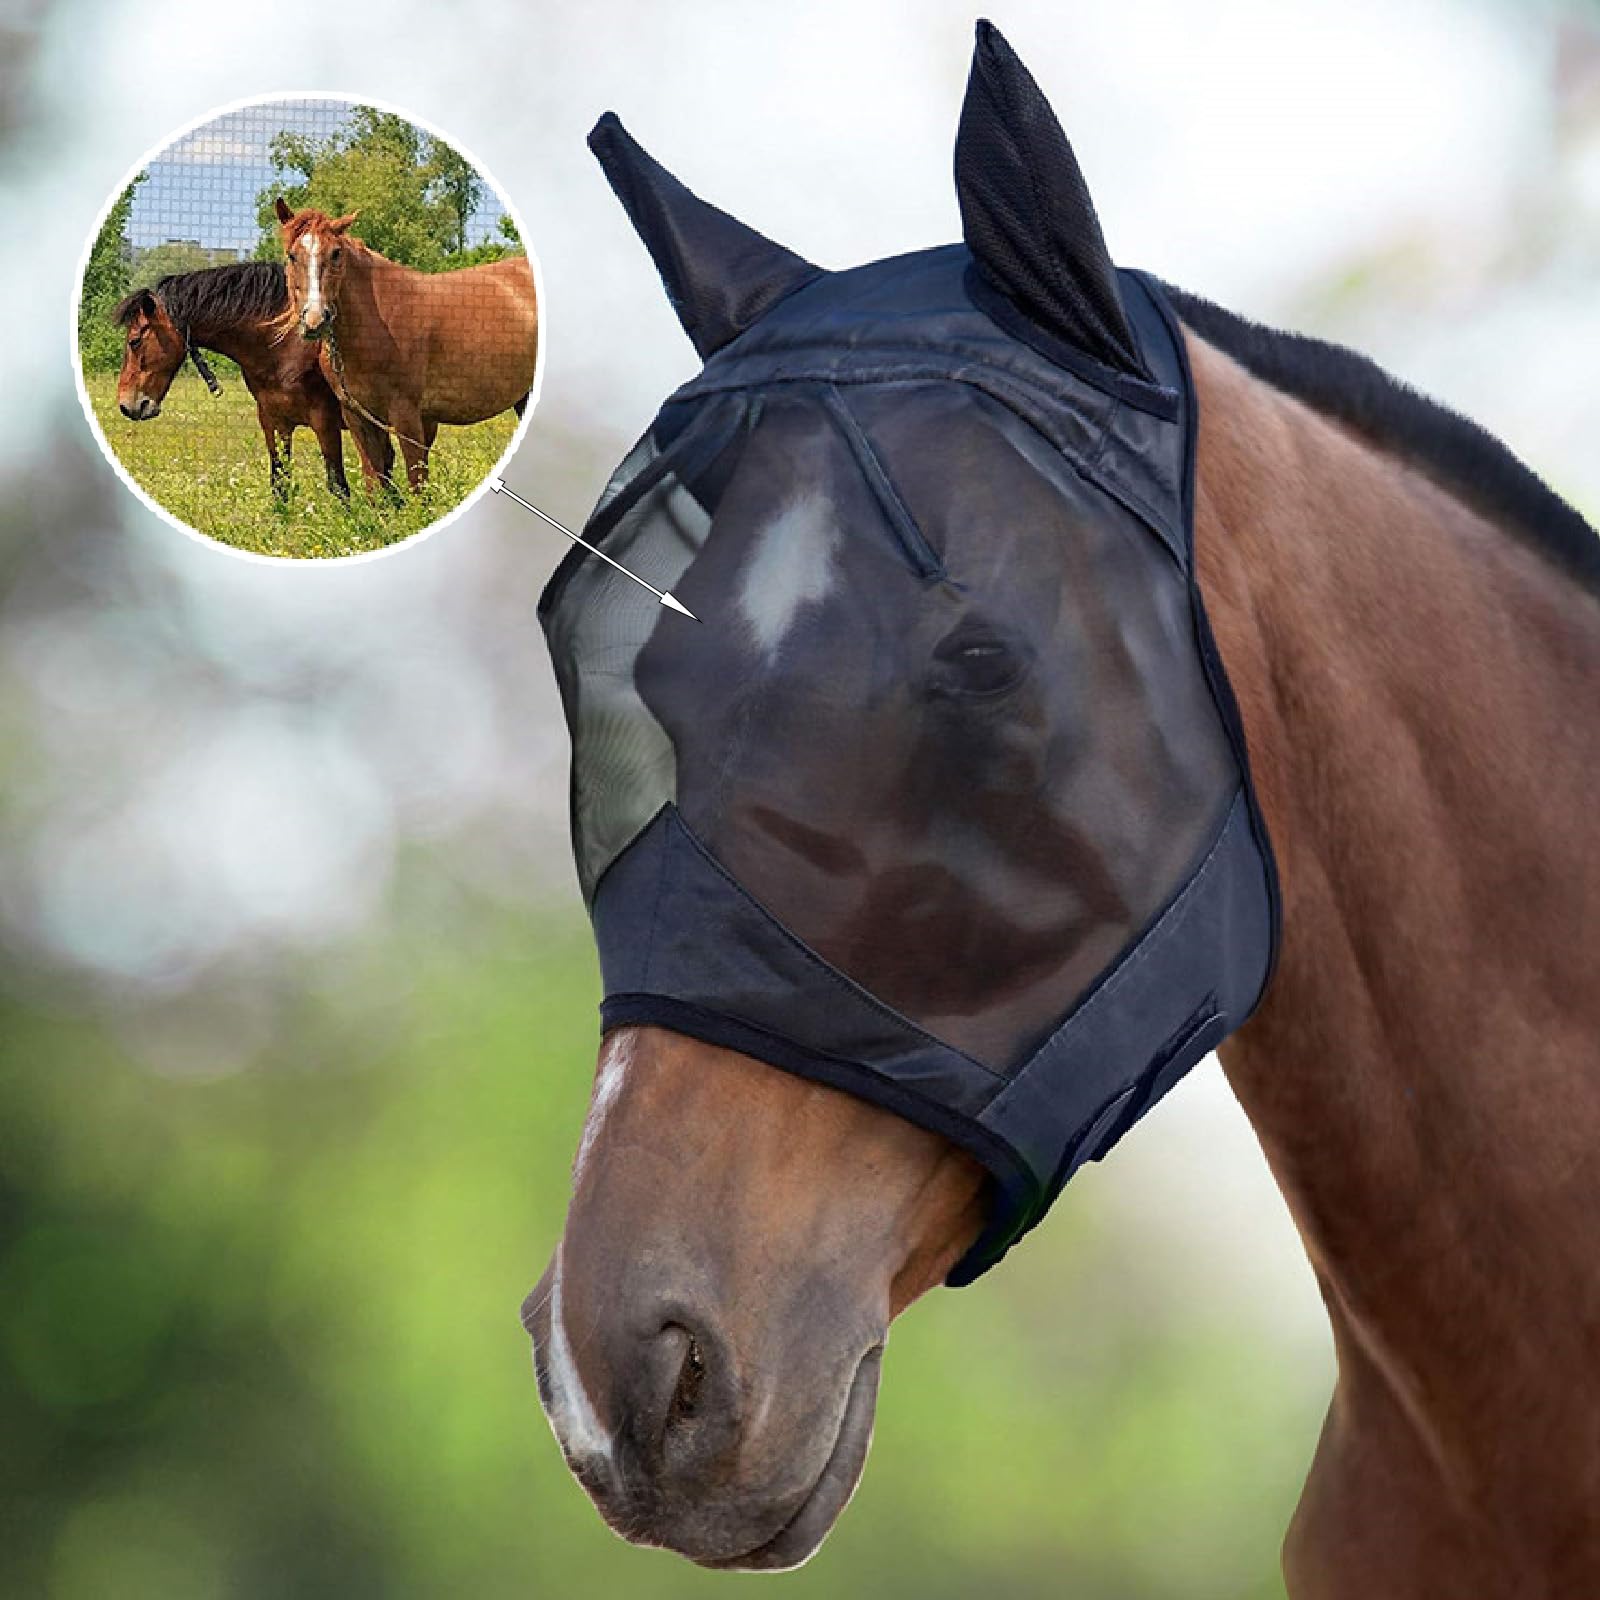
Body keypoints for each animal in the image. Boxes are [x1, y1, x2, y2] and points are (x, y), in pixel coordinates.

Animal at [112, 261, 357, 500]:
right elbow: (280, 485)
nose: (126, 405)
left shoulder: (325, 422)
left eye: (134, 341)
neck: (287, 346)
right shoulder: (275, 421)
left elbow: (339, 487)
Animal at [273, 200, 538, 494]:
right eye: (292, 256)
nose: (315, 320)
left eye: (336, 253)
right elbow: (374, 486)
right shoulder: (357, 417)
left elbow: (416, 484)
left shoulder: (407, 415)